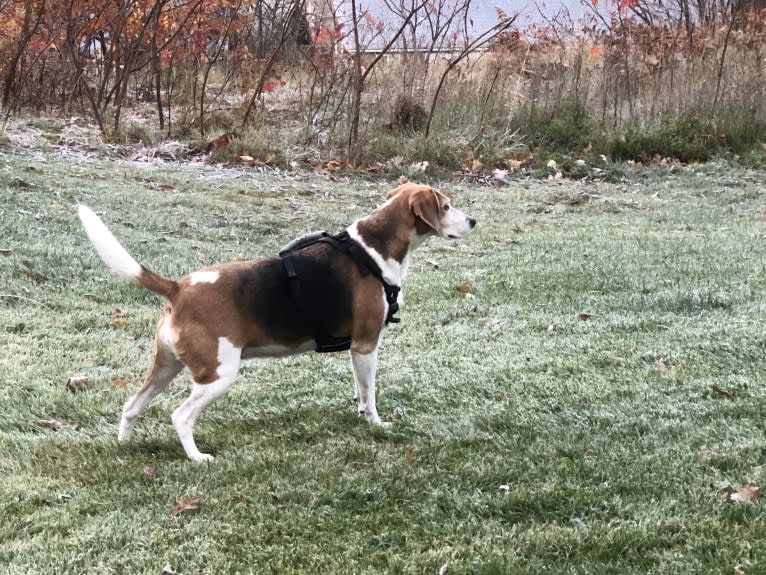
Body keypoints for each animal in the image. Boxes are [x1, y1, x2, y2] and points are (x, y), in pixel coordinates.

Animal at [76, 182, 474, 462]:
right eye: (446, 206)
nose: (473, 221)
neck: (370, 252)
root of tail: (178, 288)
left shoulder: (356, 350)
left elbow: (360, 390)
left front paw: (362, 414)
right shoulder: (366, 345)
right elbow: (371, 393)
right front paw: (376, 424)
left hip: (165, 367)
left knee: (132, 407)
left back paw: (124, 447)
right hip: (218, 374)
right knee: (181, 416)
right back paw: (197, 457)